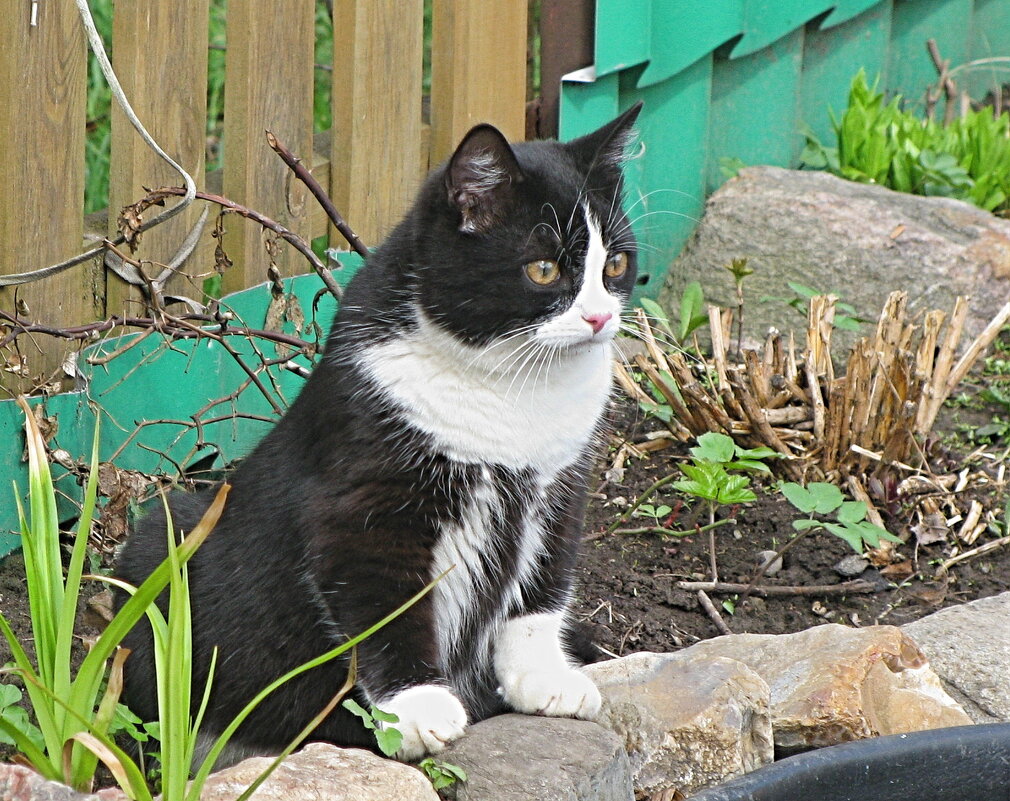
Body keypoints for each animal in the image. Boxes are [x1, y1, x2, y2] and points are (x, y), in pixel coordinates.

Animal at [116, 101, 638, 763]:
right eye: (544, 269)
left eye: (615, 264)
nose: (600, 317)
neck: (512, 392)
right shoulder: (364, 499)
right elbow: (385, 602)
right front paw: (418, 708)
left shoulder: (560, 484)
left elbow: (544, 586)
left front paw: (543, 677)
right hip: (160, 549)